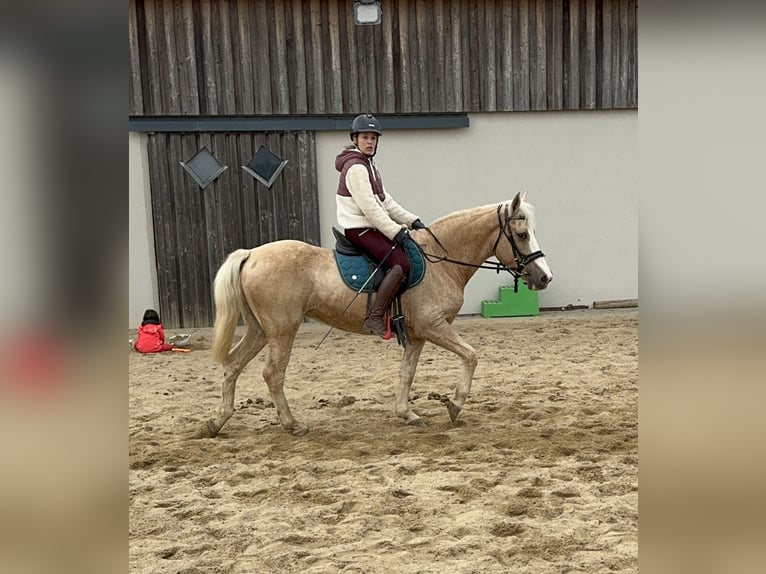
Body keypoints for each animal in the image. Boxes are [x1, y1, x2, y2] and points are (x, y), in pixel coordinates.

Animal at [201, 191, 556, 438]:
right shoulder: (434, 327)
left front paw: (407, 414)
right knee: (272, 374)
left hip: (260, 331)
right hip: (281, 330)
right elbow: (471, 355)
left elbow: (407, 373)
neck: (441, 260)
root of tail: (251, 254)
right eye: (522, 235)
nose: (544, 277)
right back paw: (292, 424)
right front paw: (454, 404)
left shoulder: (417, 335)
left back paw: (216, 421)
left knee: (232, 366)